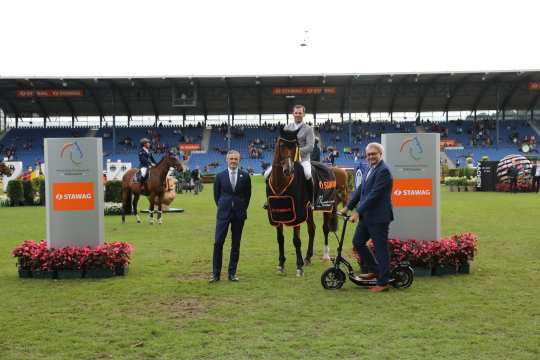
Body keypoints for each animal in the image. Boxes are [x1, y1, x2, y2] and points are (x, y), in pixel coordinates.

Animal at [266, 129, 350, 276]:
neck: (280, 183)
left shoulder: (297, 214)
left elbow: (296, 240)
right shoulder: (276, 214)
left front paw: (299, 266)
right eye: (281, 145)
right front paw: (281, 264)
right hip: (309, 211)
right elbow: (280, 239)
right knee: (312, 229)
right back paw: (308, 257)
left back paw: (325, 255)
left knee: (325, 228)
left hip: (327, 207)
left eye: (294, 146)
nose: (288, 170)